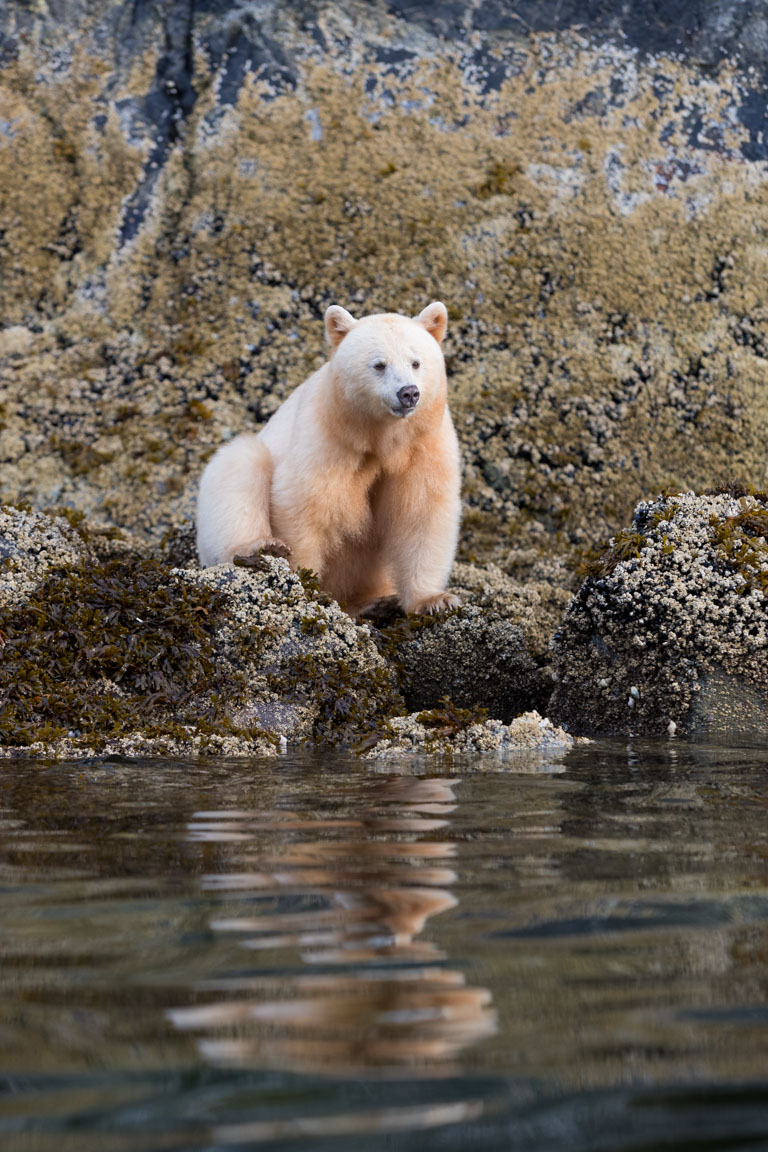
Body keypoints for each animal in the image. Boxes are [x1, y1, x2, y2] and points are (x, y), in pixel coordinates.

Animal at [198, 301, 462, 617]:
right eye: (379, 365)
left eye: (416, 362)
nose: (408, 393)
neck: (381, 438)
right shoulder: (329, 438)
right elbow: (304, 503)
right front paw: (303, 583)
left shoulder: (423, 444)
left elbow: (422, 510)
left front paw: (435, 600)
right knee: (240, 463)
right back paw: (259, 547)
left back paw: (375, 603)